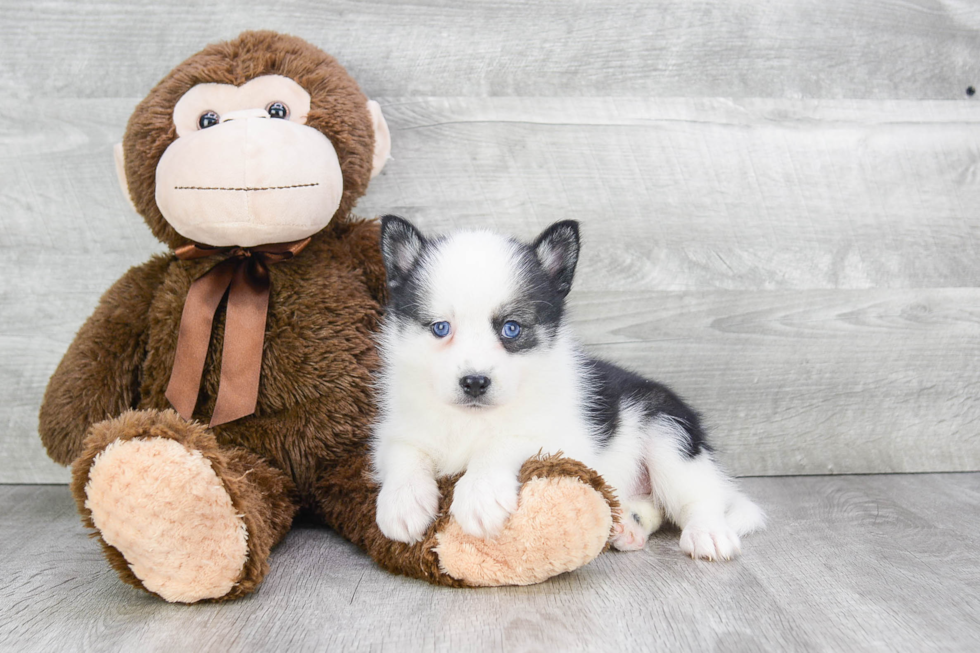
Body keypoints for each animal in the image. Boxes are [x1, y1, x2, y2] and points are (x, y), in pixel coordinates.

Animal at [372, 216, 760, 556]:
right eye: (440, 328)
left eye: (511, 328)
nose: (475, 382)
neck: (472, 419)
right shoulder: (398, 428)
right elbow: (405, 452)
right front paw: (402, 503)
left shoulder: (561, 438)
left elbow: (504, 441)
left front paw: (479, 493)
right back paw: (628, 526)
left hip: (667, 431)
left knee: (698, 497)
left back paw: (708, 532)